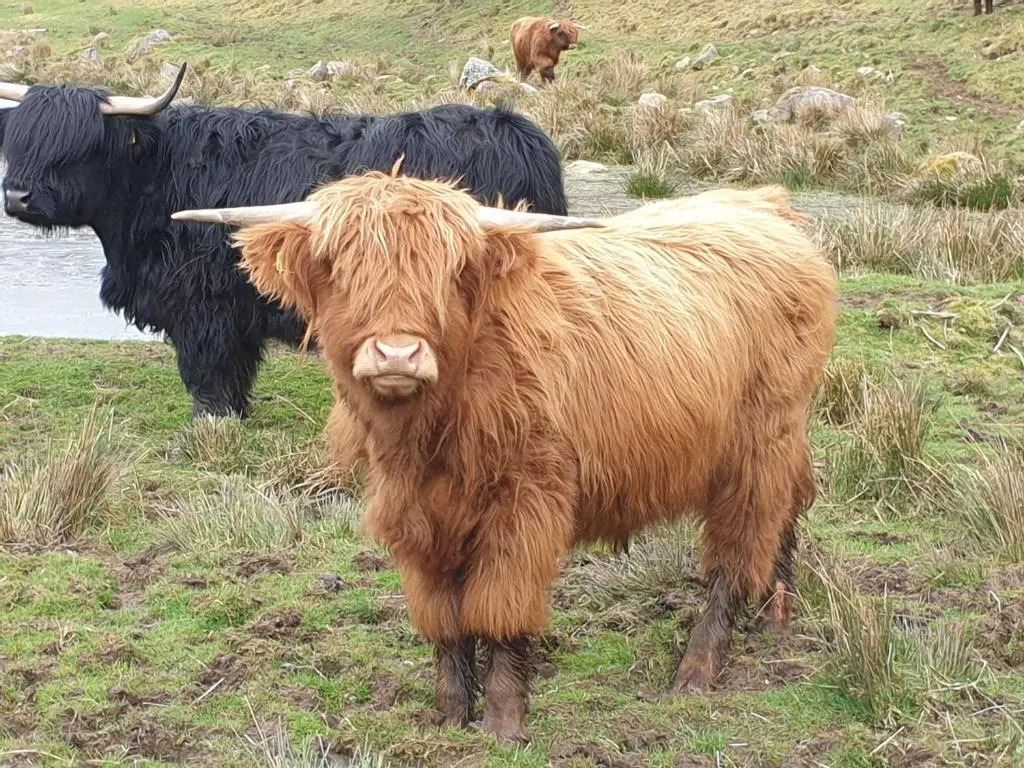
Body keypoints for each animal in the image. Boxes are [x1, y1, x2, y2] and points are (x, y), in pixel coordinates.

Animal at [0, 63, 569, 419]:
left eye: (77, 147)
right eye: (19, 142)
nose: (18, 196)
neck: (154, 175)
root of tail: (514, 130)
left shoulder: (203, 306)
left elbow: (207, 372)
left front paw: (210, 424)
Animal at [170, 170, 837, 745]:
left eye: (451, 271)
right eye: (338, 268)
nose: (396, 354)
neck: (432, 434)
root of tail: (764, 204)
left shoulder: (526, 504)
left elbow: (499, 610)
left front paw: (501, 724)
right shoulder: (415, 514)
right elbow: (442, 619)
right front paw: (448, 717)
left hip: (759, 440)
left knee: (739, 549)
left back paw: (697, 671)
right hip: (780, 438)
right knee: (788, 510)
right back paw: (777, 616)